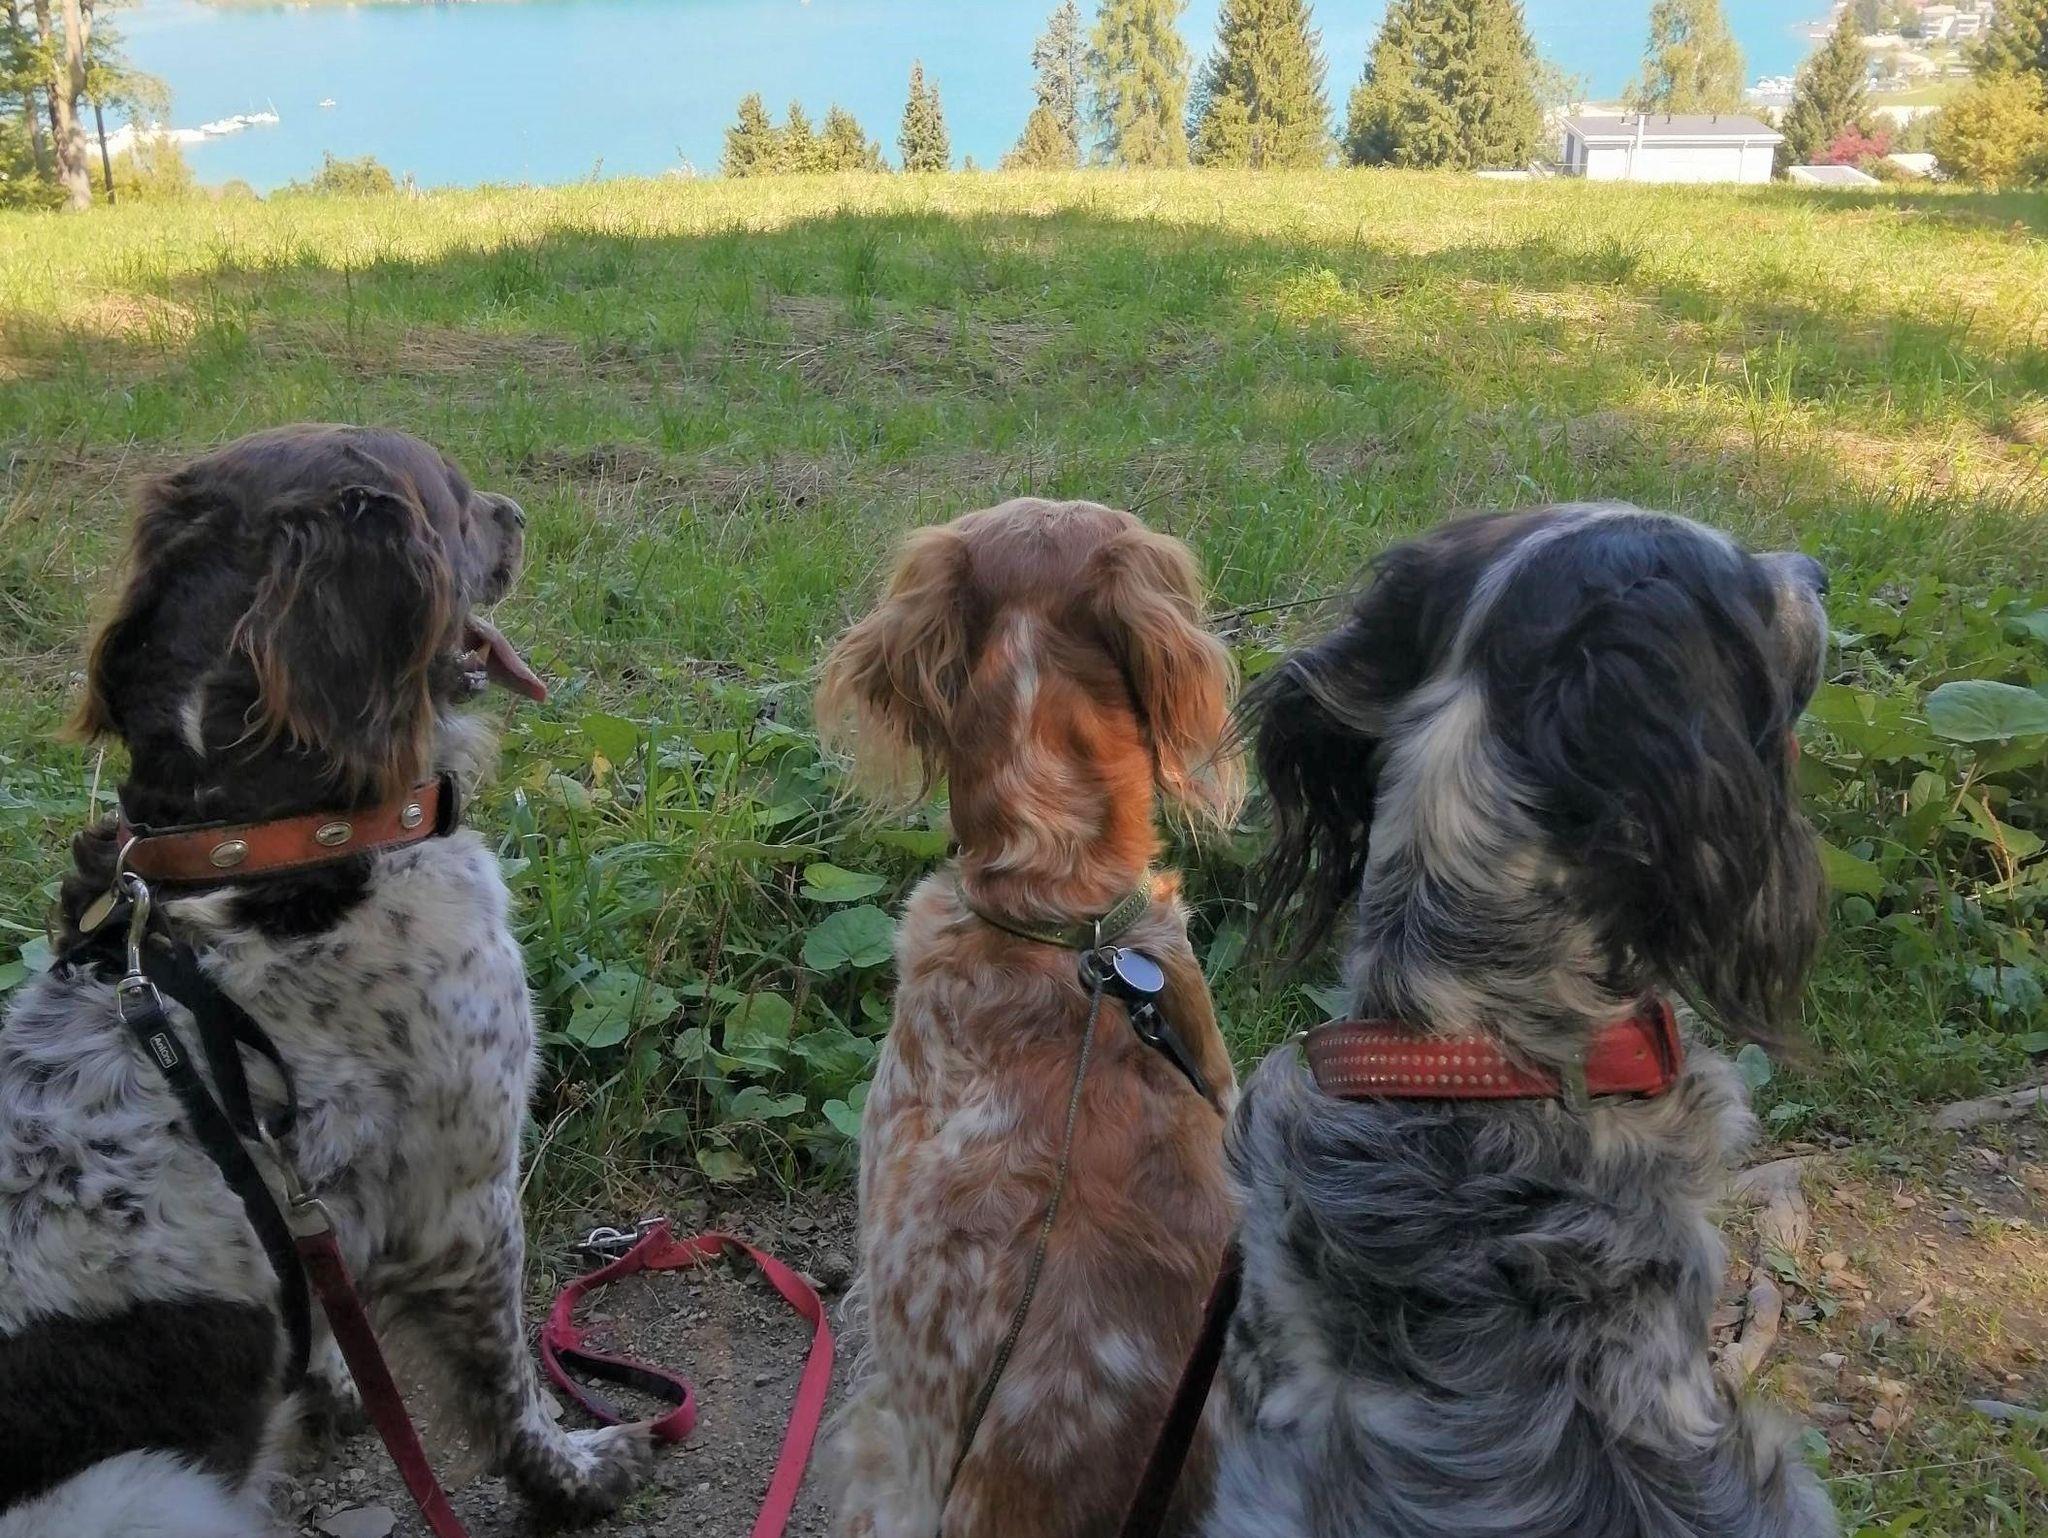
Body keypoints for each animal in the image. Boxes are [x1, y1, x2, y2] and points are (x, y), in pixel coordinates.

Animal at [0, 426, 654, 1536]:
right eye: (454, 502)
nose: (518, 513)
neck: (261, 840)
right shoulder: (468, 1197)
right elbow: (509, 1382)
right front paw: (571, 1475)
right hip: (150, 1488)